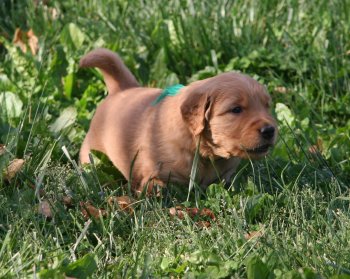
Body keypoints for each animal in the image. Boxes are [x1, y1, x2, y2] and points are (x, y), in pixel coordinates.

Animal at [78, 48, 276, 195]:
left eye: (267, 106)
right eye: (236, 109)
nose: (270, 130)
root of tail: (121, 89)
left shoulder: (226, 176)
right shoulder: (152, 177)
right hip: (91, 154)